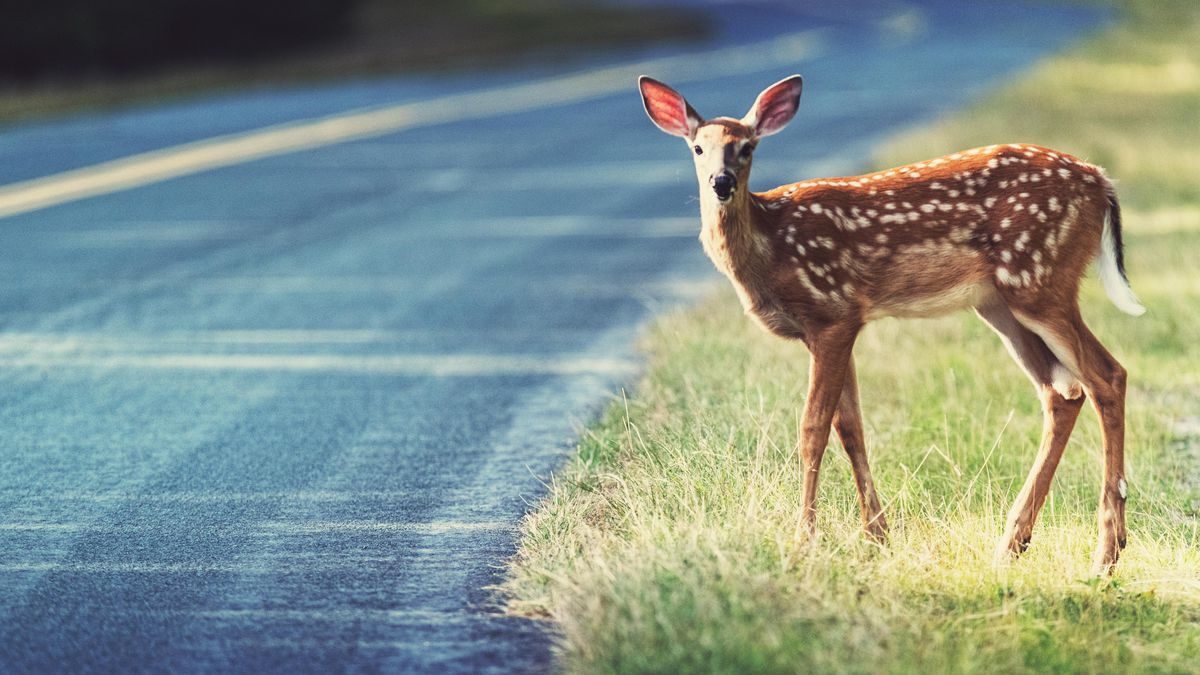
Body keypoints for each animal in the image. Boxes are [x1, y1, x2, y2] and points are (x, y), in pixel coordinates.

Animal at [643, 76, 1147, 576]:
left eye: (747, 147)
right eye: (697, 147)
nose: (721, 182)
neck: (772, 248)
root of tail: (1101, 181)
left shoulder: (832, 311)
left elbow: (813, 428)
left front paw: (804, 542)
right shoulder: (835, 326)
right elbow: (850, 427)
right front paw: (877, 538)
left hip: (1040, 278)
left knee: (1107, 375)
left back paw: (1105, 553)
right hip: (1001, 303)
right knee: (1062, 392)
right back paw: (1012, 544)